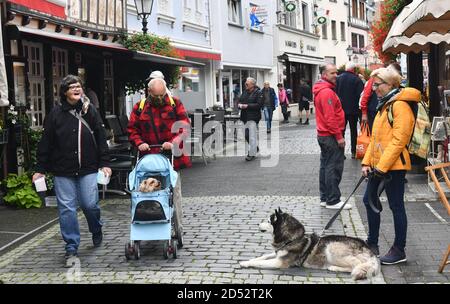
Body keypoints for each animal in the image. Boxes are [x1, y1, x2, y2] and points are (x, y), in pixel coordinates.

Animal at [239, 209, 380, 280]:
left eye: (269, 221)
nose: (257, 224)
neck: (293, 239)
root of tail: (369, 250)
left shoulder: (279, 262)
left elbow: (260, 262)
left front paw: (245, 263)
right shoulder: (278, 253)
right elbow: (262, 257)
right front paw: (250, 259)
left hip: (332, 248)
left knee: (356, 265)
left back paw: (334, 268)